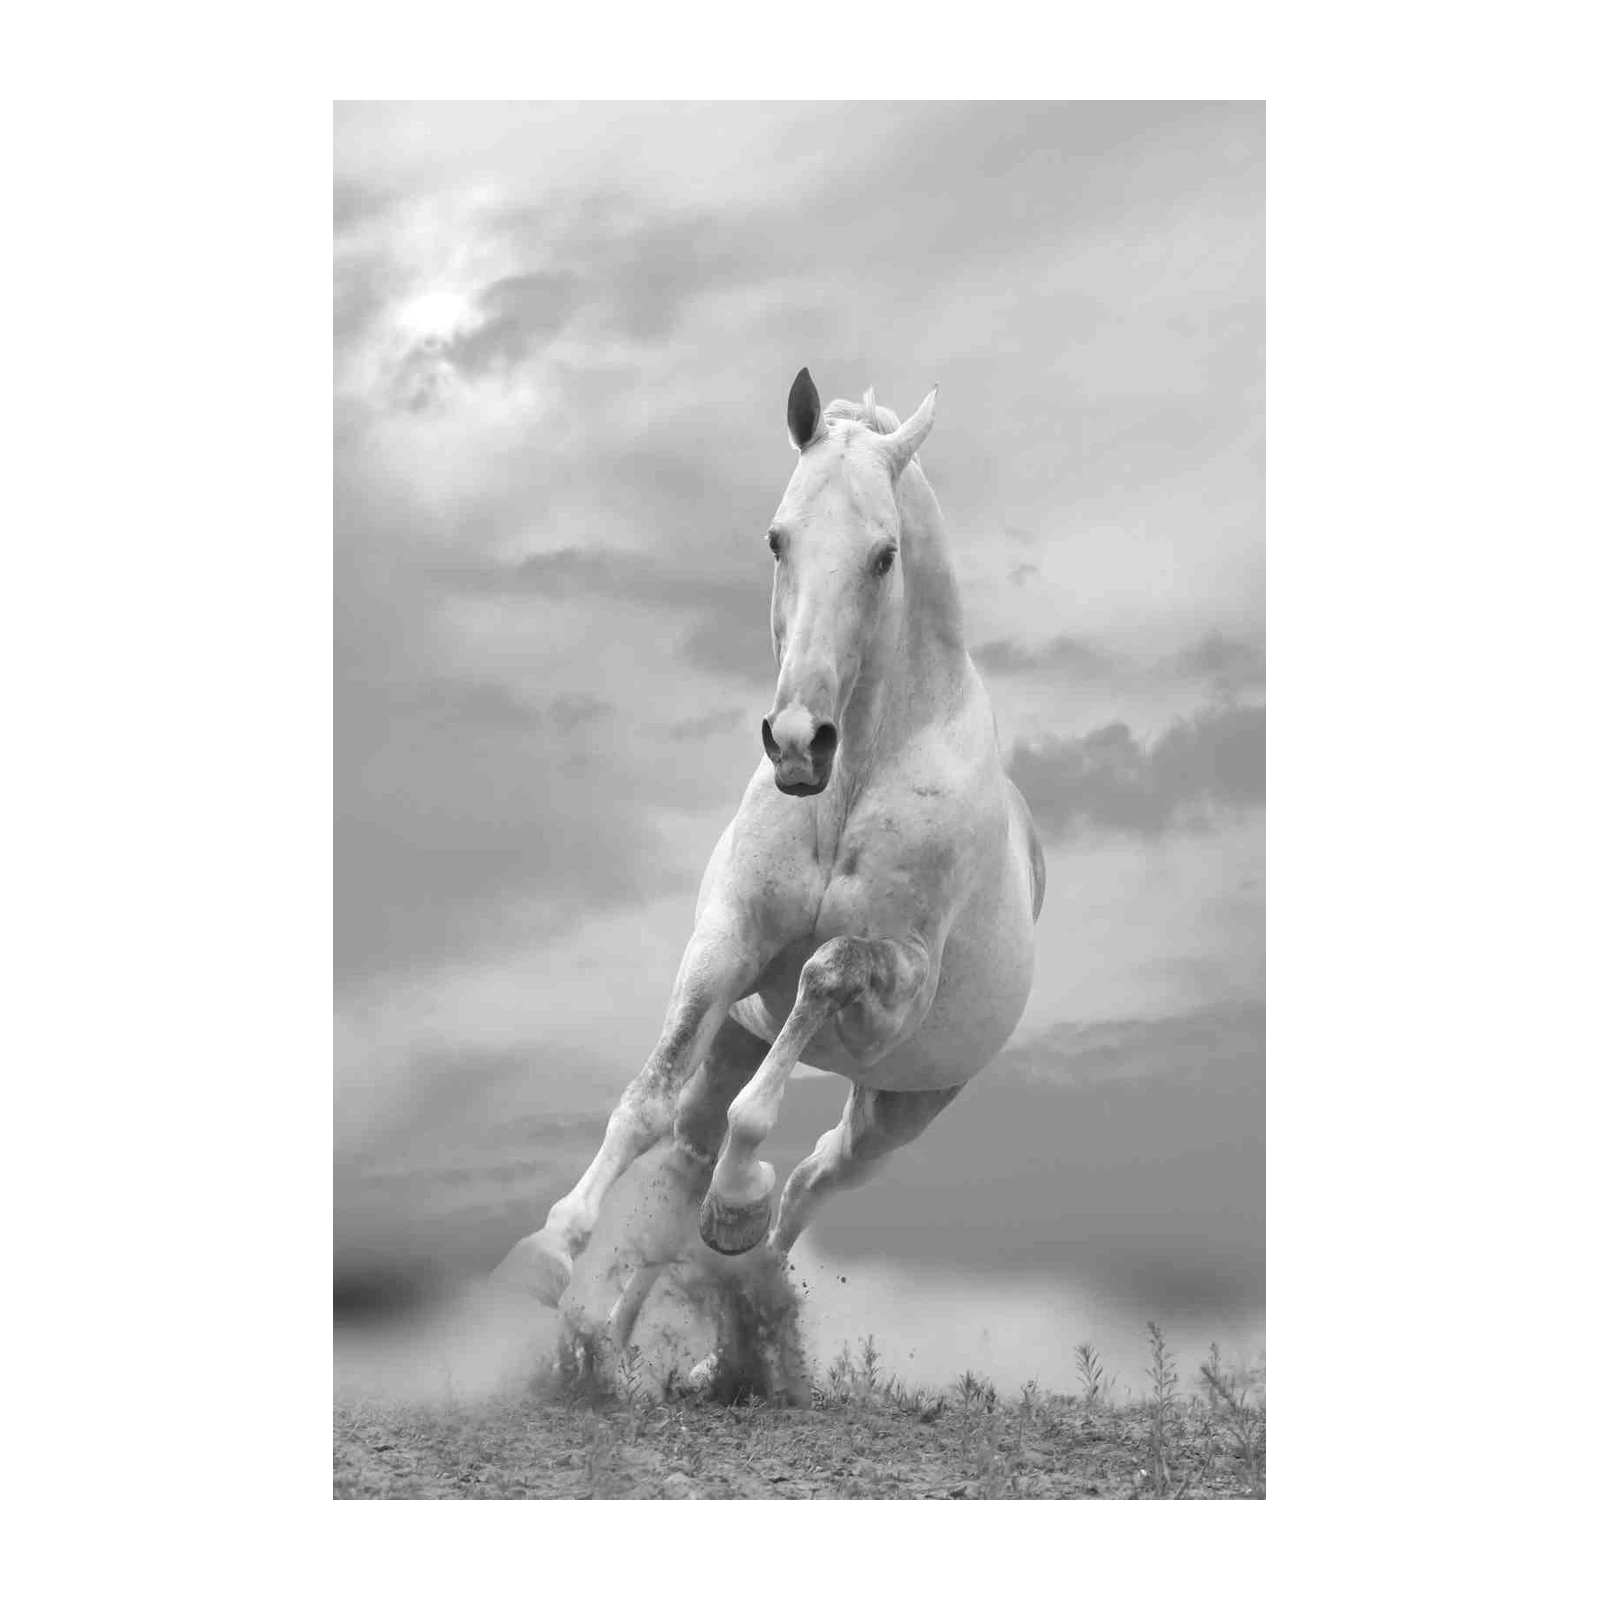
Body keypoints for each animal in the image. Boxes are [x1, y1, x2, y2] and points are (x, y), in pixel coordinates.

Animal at [492, 369, 1046, 1385]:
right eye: (777, 537)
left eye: (884, 556)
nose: (796, 742)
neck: (853, 779)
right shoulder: (727, 943)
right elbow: (646, 1100)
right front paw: (547, 1251)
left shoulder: (892, 988)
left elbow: (822, 978)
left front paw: (737, 1199)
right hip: (741, 1043)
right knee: (688, 1155)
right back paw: (619, 1349)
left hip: (902, 1107)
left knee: (812, 1180)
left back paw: (735, 1290)